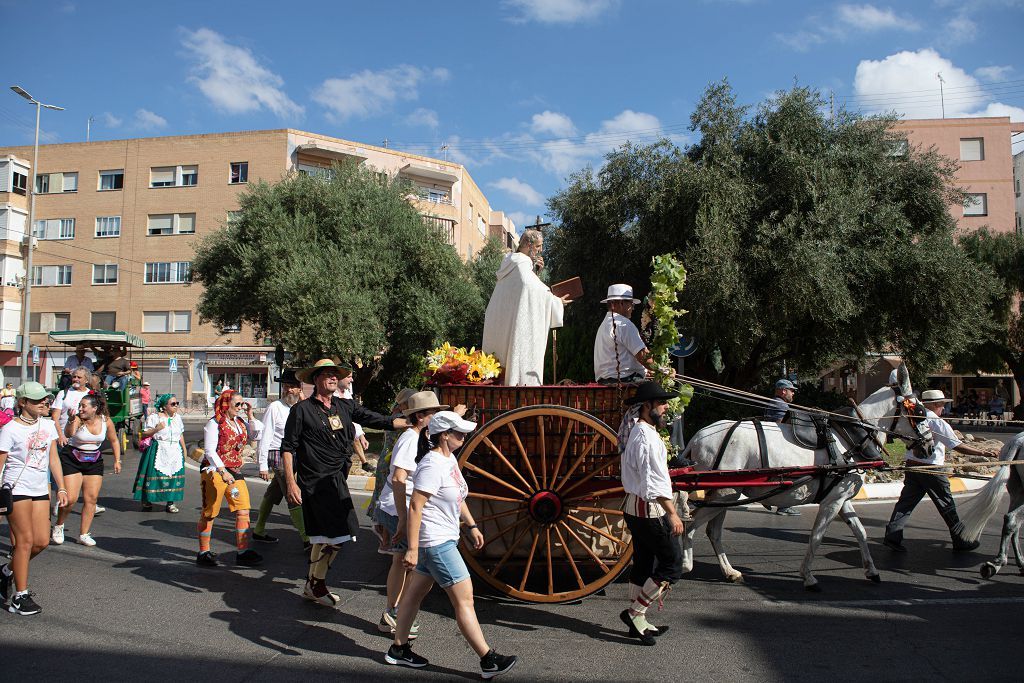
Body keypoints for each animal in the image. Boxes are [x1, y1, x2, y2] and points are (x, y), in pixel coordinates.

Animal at [679, 362, 937, 593]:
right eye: (920, 413)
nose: (930, 447)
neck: (850, 438)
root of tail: (697, 438)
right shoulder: (831, 502)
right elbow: (817, 536)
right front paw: (808, 577)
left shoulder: (840, 497)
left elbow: (860, 532)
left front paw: (871, 570)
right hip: (724, 494)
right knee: (690, 526)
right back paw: (685, 564)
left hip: (724, 495)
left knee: (712, 531)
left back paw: (729, 571)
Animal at [950, 432, 1024, 577]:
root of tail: (1018, 442)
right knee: (1012, 520)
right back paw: (999, 562)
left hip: (1016, 491)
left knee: (1013, 522)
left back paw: (1017, 563)